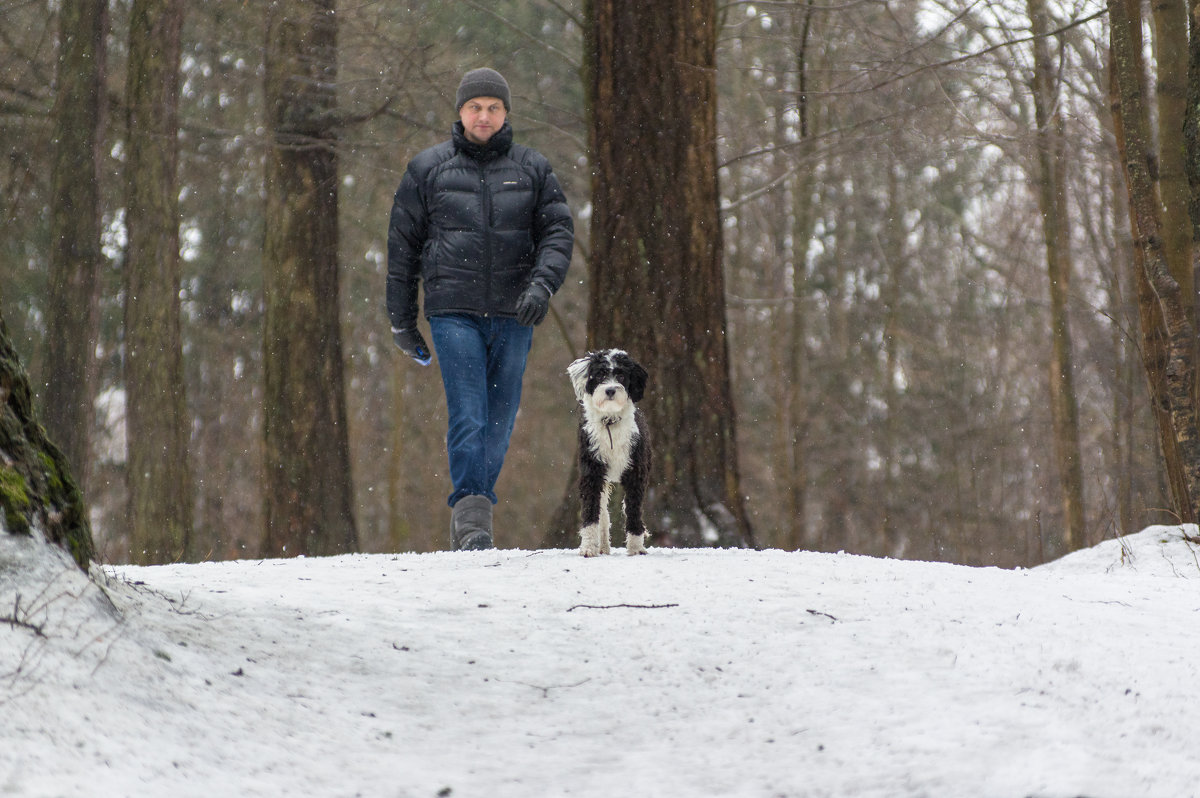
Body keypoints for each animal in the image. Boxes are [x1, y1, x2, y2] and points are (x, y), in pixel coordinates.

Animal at [566, 348, 652, 554]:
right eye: (600, 375)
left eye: (621, 375)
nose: (610, 390)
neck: (610, 422)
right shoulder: (592, 472)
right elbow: (591, 511)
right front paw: (588, 547)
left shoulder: (636, 473)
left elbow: (633, 510)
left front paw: (636, 548)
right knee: (603, 515)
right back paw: (602, 546)